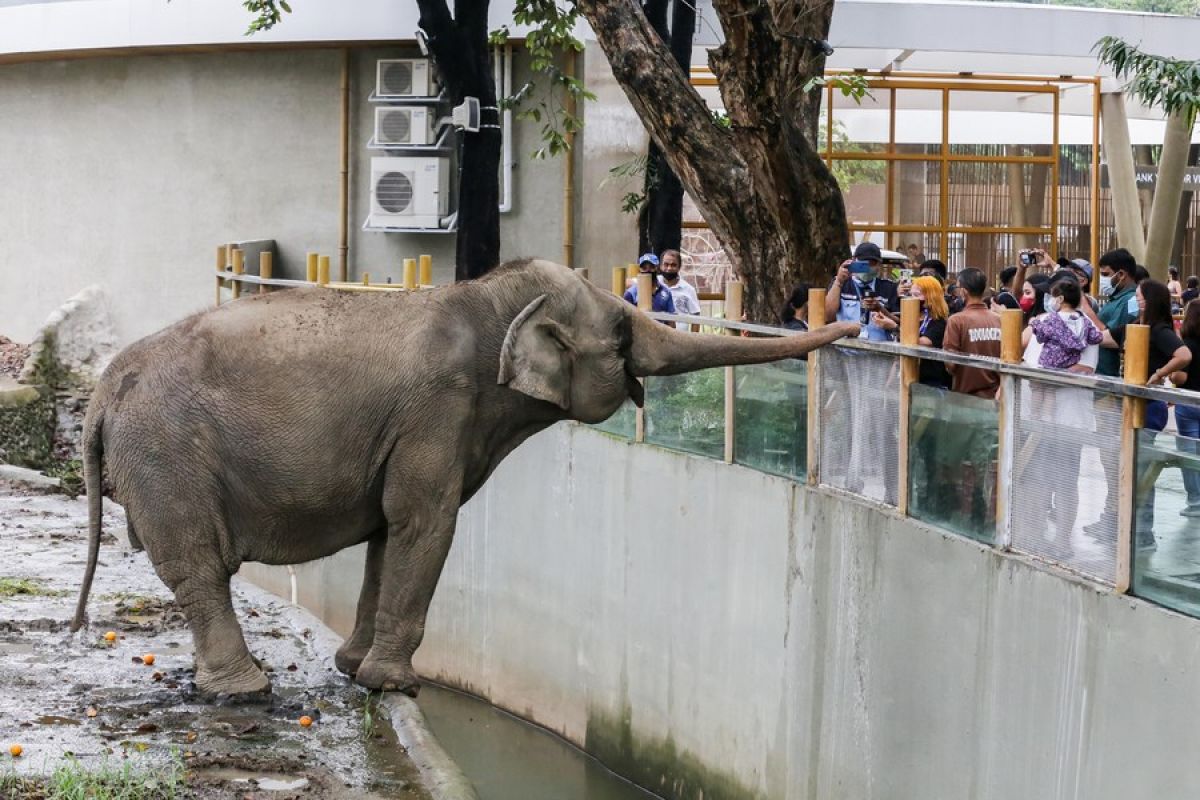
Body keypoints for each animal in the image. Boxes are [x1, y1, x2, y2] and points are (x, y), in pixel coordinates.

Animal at [70, 260, 859, 695]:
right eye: (622, 336)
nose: (851, 326)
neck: (486, 298)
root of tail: (100, 396)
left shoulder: (408, 432)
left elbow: (389, 531)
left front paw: (353, 669)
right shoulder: (438, 411)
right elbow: (427, 522)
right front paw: (396, 686)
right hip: (167, 455)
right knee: (199, 566)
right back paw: (244, 693)